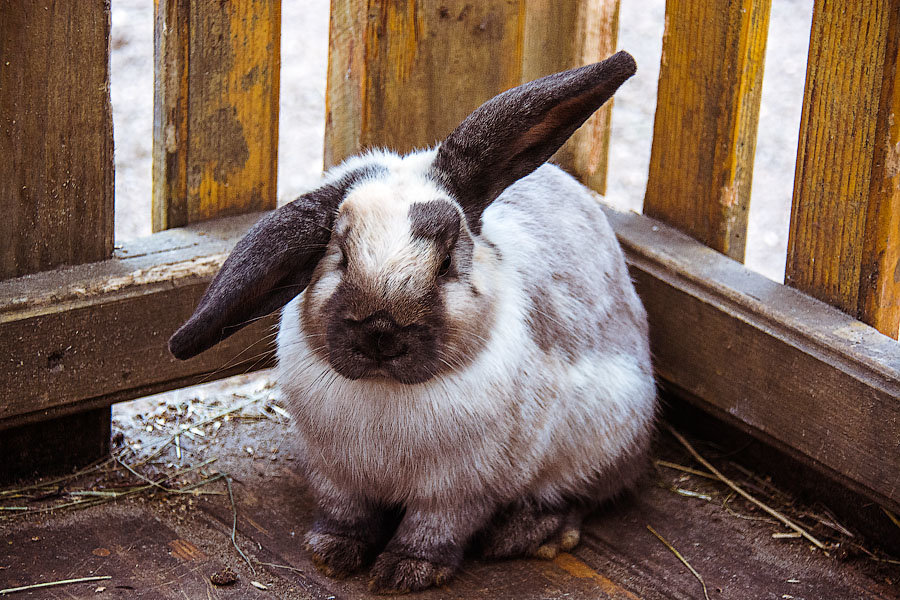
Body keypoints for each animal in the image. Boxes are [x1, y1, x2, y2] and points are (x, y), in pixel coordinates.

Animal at [169, 52, 656, 596]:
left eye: (444, 264)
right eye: (339, 255)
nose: (381, 335)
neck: (385, 394)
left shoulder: (459, 489)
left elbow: (434, 528)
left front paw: (405, 572)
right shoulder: (335, 474)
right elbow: (345, 514)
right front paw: (331, 554)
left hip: (607, 432)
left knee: (585, 495)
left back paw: (528, 534)